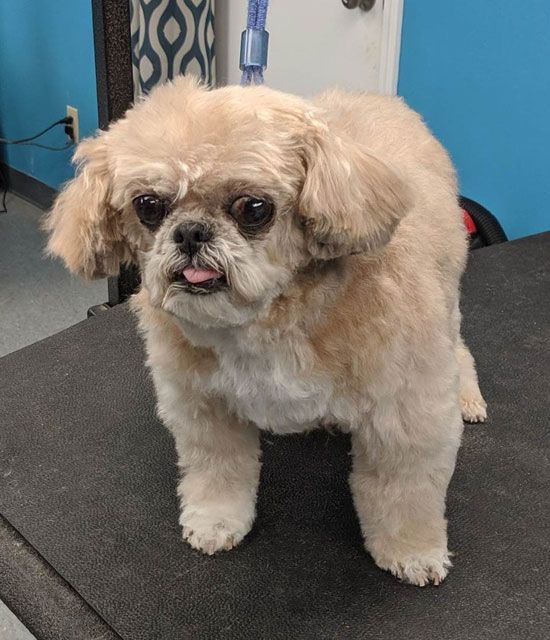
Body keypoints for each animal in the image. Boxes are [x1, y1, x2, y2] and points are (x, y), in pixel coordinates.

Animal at [46, 79, 488, 584]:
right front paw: (215, 521)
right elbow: (218, 471)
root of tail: (380, 100)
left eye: (253, 208)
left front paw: (413, 551)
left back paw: (468, 396)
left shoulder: (406, 411)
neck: (266, 322)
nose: (190, 232)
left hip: (445, 303)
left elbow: (405, 489)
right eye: (149, 206)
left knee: (459, 348)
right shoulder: (204, 405)